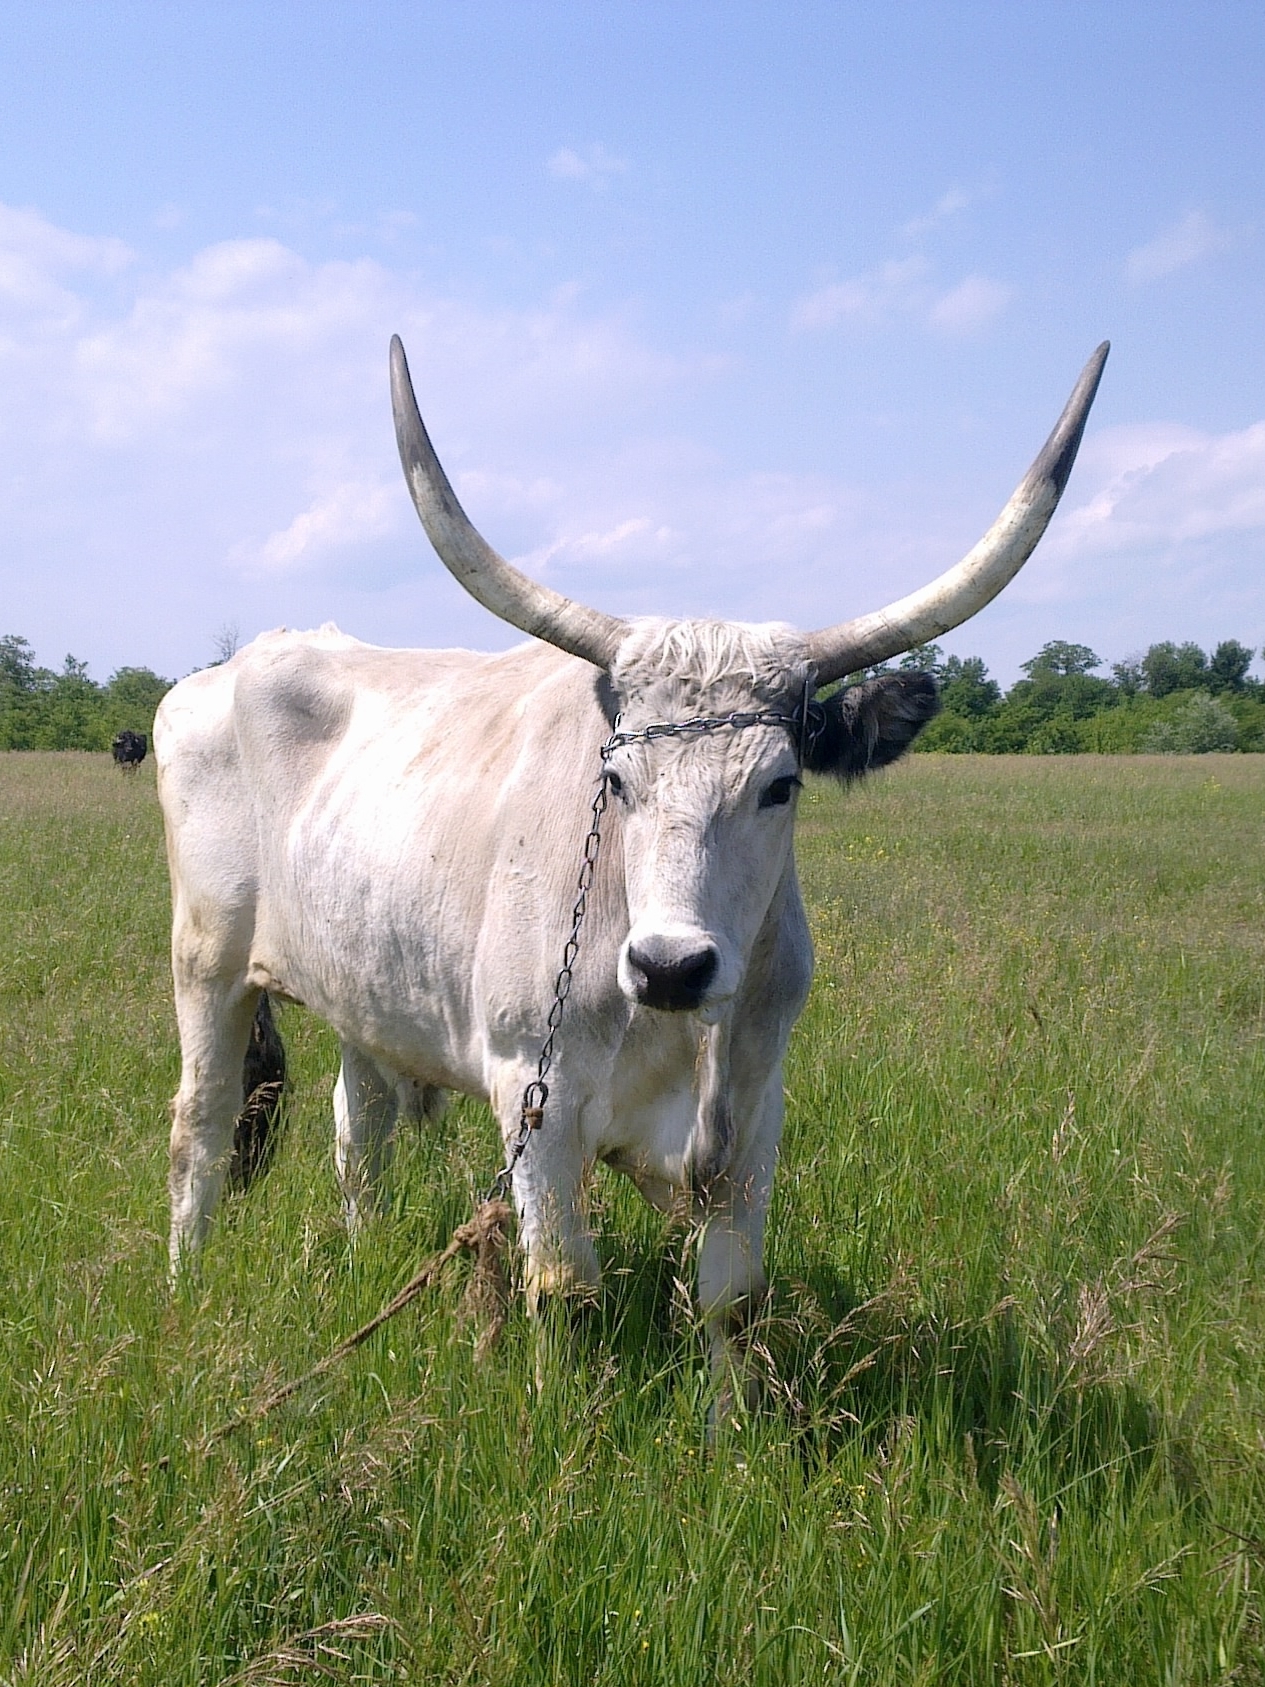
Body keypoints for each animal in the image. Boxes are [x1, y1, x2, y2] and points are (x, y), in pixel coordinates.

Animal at [154, 337, 1107, 1385]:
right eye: (614, 781)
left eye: (782, 784)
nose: (670, 965)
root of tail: (227, 669)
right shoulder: (534, 1094)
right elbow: (563, 1289)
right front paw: (552, 1411)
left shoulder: (755, 1112)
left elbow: (733, 1300)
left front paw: (729, 1418)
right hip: (206, 960)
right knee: (200, 1125)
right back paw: (185, 1282)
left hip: (364, 988)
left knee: (357, 1131)